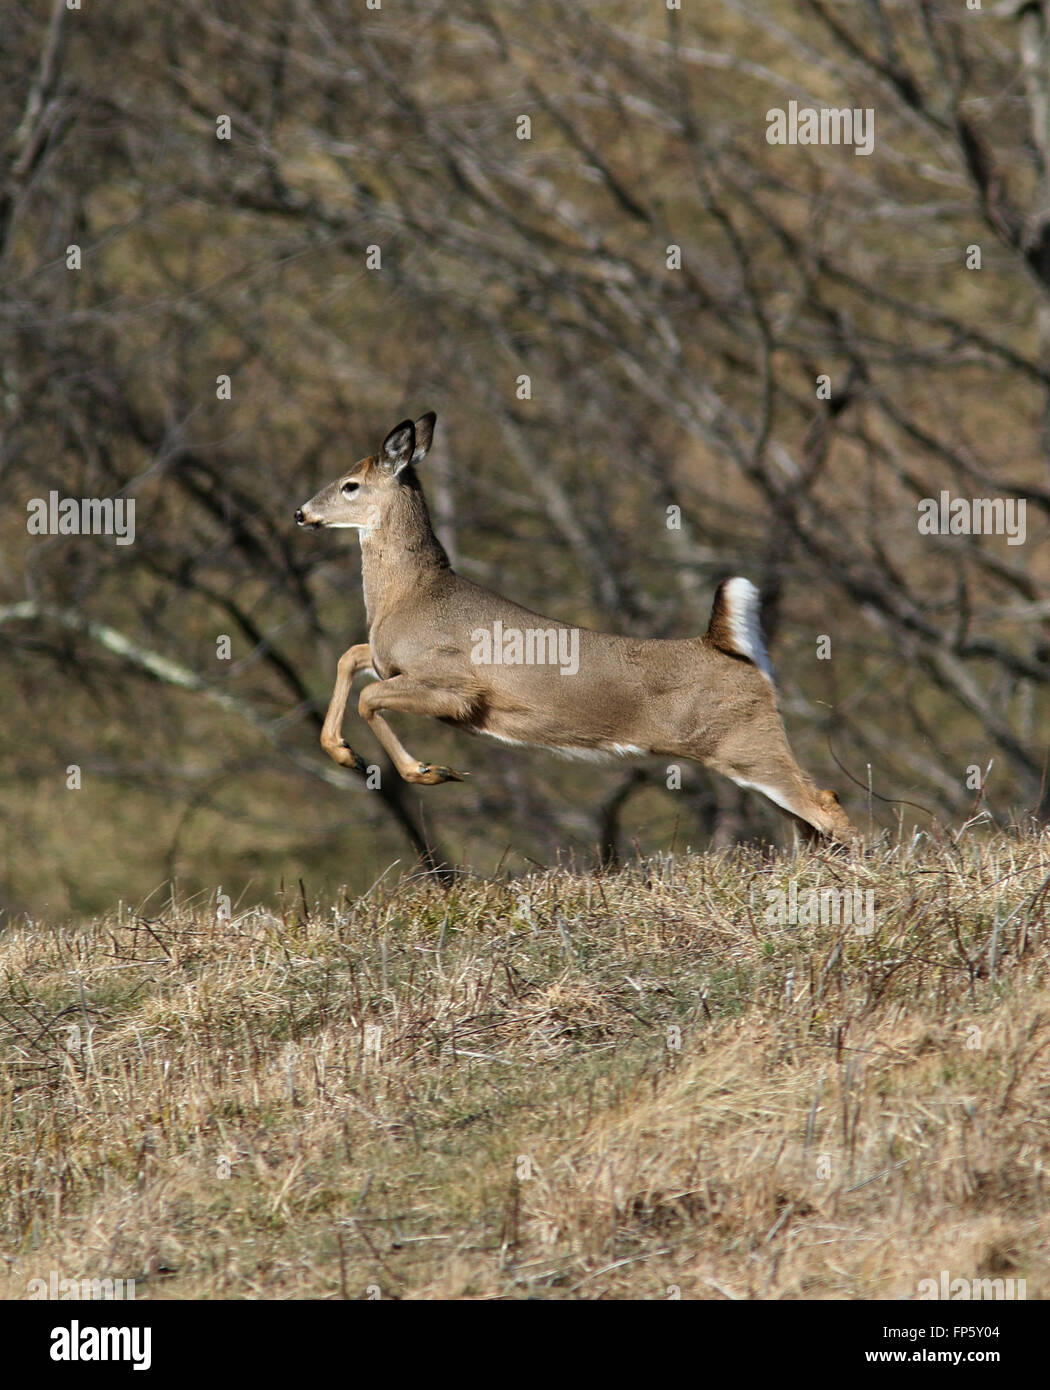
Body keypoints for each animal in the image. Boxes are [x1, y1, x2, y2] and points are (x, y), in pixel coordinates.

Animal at [293, 411, 856, 839]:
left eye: (349, 485)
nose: (300, 513)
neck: (410, 594)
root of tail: (729, 648)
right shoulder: (389, 662)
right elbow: (351, 657)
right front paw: (343, 753)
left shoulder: (455, 686)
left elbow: (369, 697)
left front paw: (430, 771)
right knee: (809, 816)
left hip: (742, 741)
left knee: (825, 804)